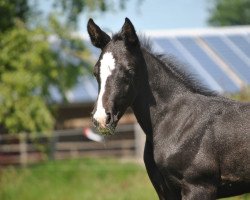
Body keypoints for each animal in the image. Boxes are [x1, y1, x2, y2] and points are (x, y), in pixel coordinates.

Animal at [86, 18, 250, 199]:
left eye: (129, 70)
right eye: (95, 72)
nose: (102, 119)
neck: (177, 121)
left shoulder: (199, 187)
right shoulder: (164, 190)